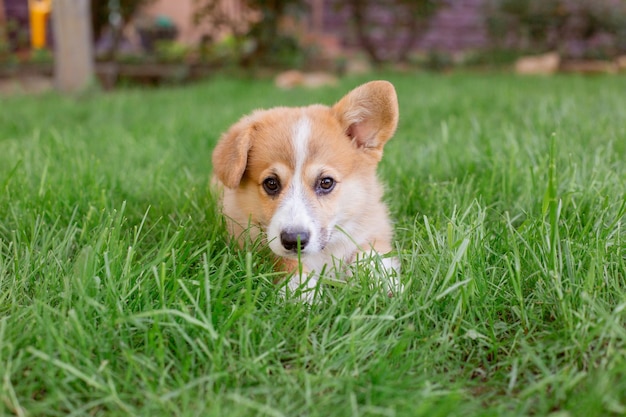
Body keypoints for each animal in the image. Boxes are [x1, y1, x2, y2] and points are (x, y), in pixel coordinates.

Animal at [212, 79, 400, 298]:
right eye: (271, 183)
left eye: (326, 182)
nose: (294, 240)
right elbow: (286, 261)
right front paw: (300, 293)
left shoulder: (374, 228)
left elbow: (369, 252)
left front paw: (382, 281)